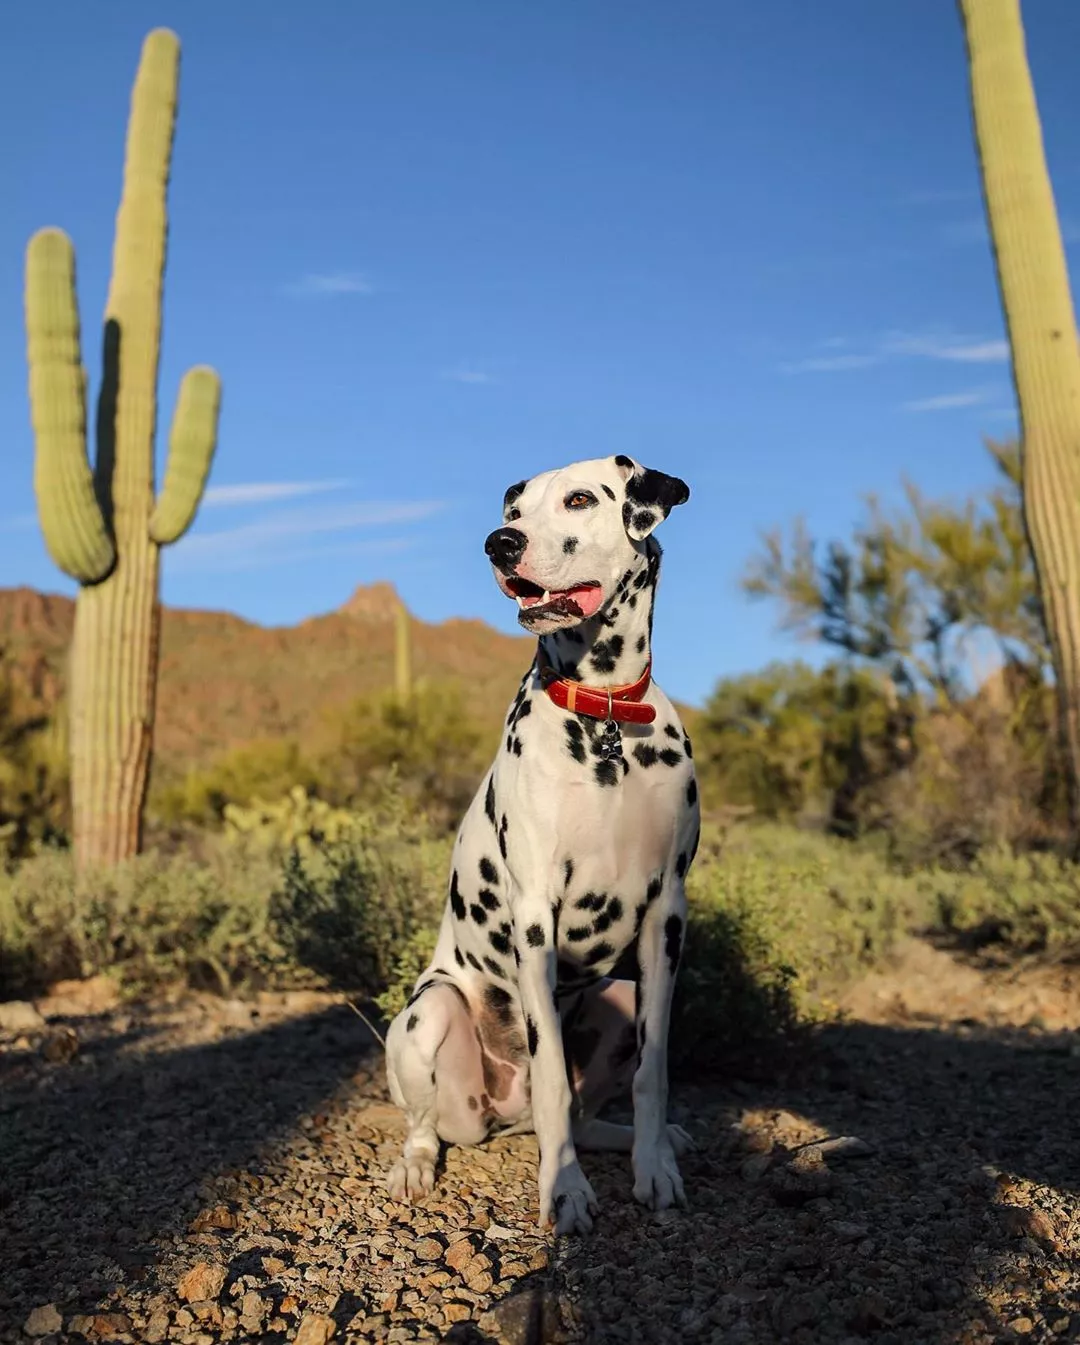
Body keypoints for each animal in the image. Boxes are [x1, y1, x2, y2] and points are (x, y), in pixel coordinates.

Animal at [384, 457, 699, 1232]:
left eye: (580, 499)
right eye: (515, 509)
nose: (500, 543)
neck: (607, 716)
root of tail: (508, 1112)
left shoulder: (667, 917)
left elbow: (654, 1071)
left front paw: (655, 1166)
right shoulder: (535, 916)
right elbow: (554, 1071)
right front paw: (565, 1190)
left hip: (619, 995)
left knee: (588, 1112)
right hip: (429, 1017)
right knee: (427, 1123)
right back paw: (415, 1166)